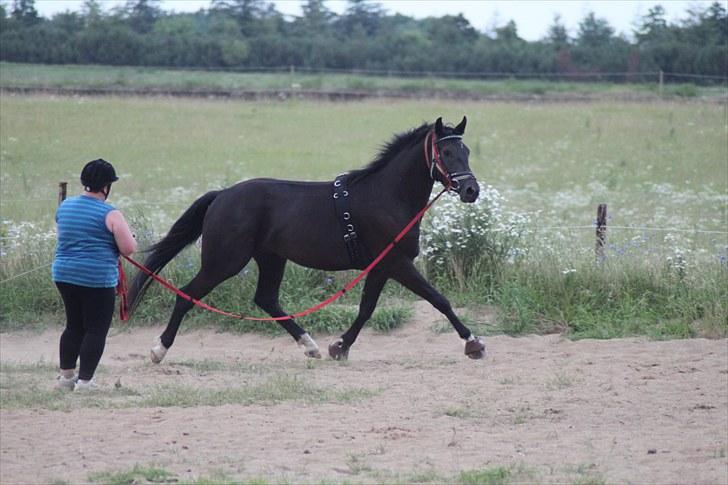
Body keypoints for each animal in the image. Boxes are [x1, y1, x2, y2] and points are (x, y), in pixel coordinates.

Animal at [127, 115, 486, 362]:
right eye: (447, 151)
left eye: (467, 150)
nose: (471, 190)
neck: (387, 196)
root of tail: (222, 195)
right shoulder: (397, 263)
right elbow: (438, 299)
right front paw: (473, 343)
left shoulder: (382, 267)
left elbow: (366, 309)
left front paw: (339, 346)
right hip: (224, 262)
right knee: (187, 295)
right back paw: (159, 349)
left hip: (271, 258)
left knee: (266, 299)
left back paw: (309, 345)